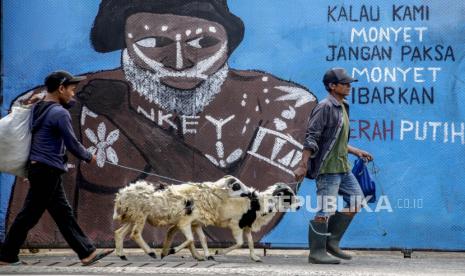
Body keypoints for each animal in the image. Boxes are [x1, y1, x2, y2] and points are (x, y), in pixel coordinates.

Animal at [112, 175, 250, 260]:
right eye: (237, 186)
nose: (249, 192)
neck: (209, 194)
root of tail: (121, 195)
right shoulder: (184, 221)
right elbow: (190, 239)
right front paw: (171, 251)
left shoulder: (196, 222)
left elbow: (202, 239)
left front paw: (206, 256)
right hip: (140, 215)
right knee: (135, 234)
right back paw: (151, 252)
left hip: (132, 216)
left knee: (119, 233)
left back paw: (122, 255)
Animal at [162, 182, 300, 262]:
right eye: (288, 196)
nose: (299, 207)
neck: (259, 204)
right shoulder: (236, 225)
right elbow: (240, 243)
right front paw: (219, 252)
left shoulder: (247, 226)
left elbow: (250, 242)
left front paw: (255, 258)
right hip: (189, 219)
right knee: (186, 236)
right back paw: (173, 251)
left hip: (193, 221)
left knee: (176, 232)